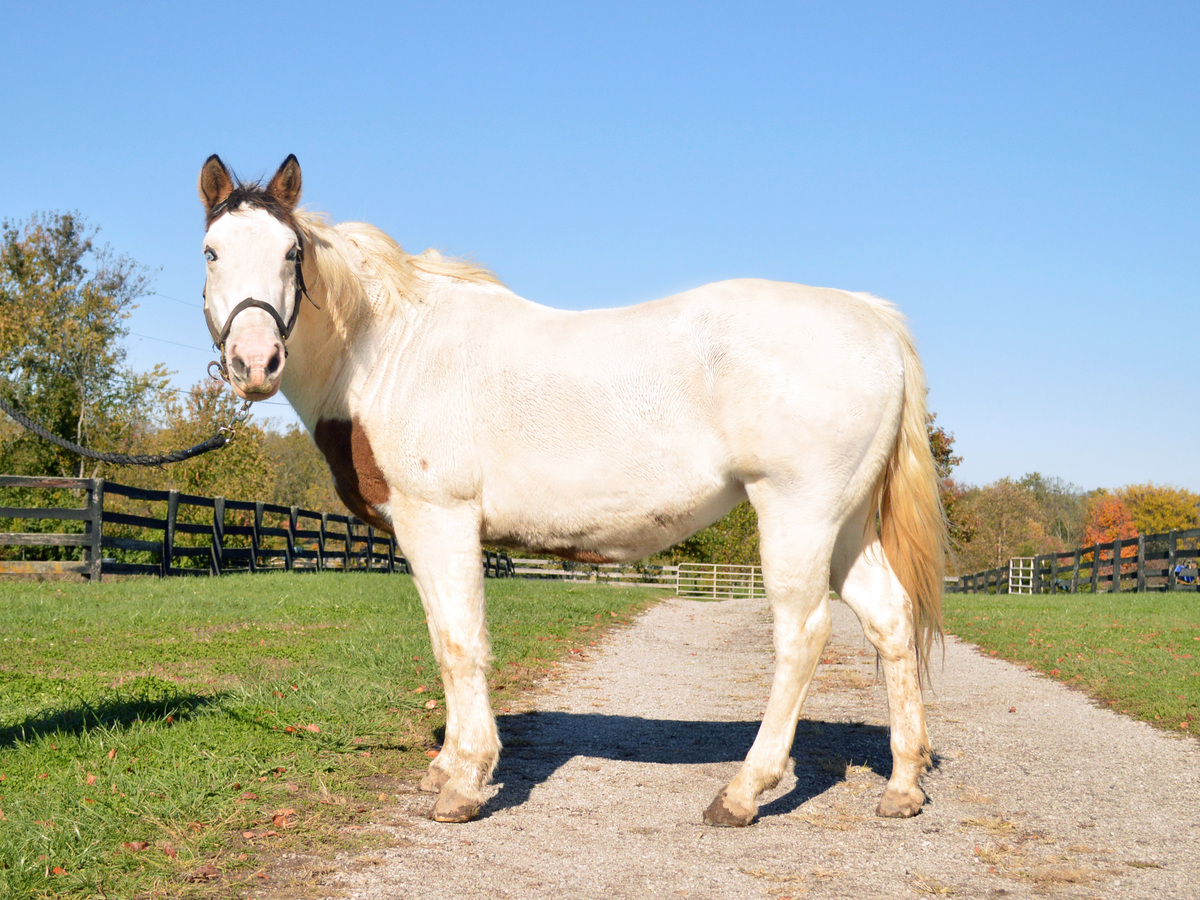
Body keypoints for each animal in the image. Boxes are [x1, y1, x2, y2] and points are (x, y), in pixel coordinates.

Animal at [197, 154, 948, 826]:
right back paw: (902, 785)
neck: (391, 352)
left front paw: (464, 782)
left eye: (291, 252)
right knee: (889, 619)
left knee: (802, 634)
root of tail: (871, 319)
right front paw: (447, 764)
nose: (254, 362)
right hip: (846, 525)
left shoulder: (440, 521)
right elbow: (443, 639)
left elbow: (460, 643)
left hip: (797, 514)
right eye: (211, 251)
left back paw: (743, 793)